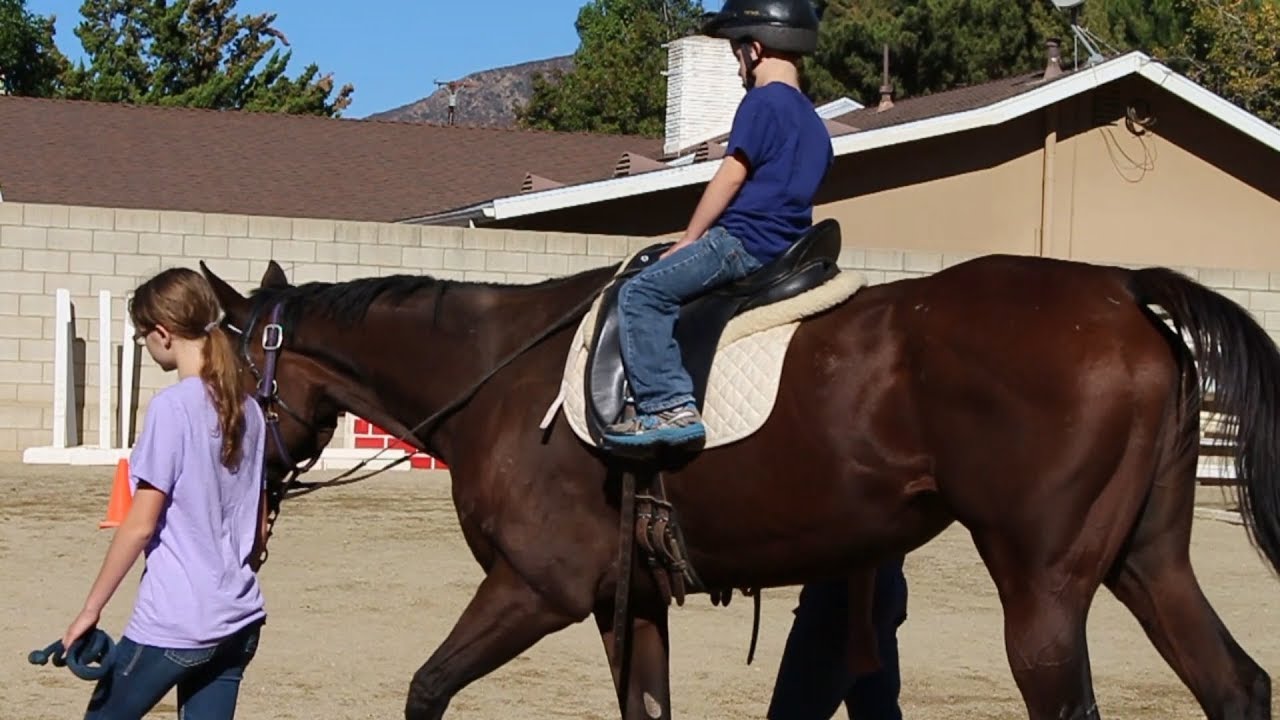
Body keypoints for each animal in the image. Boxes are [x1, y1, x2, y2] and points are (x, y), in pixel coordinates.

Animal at [201, 248, 1280, 720]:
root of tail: (1117, 287)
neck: (498, 373)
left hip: (1043, 591)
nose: (236, 477)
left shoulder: (535, 589)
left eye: (227, 372)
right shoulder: (626, 601)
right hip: (1146, 563)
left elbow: (426, 689)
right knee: (1235, 685)